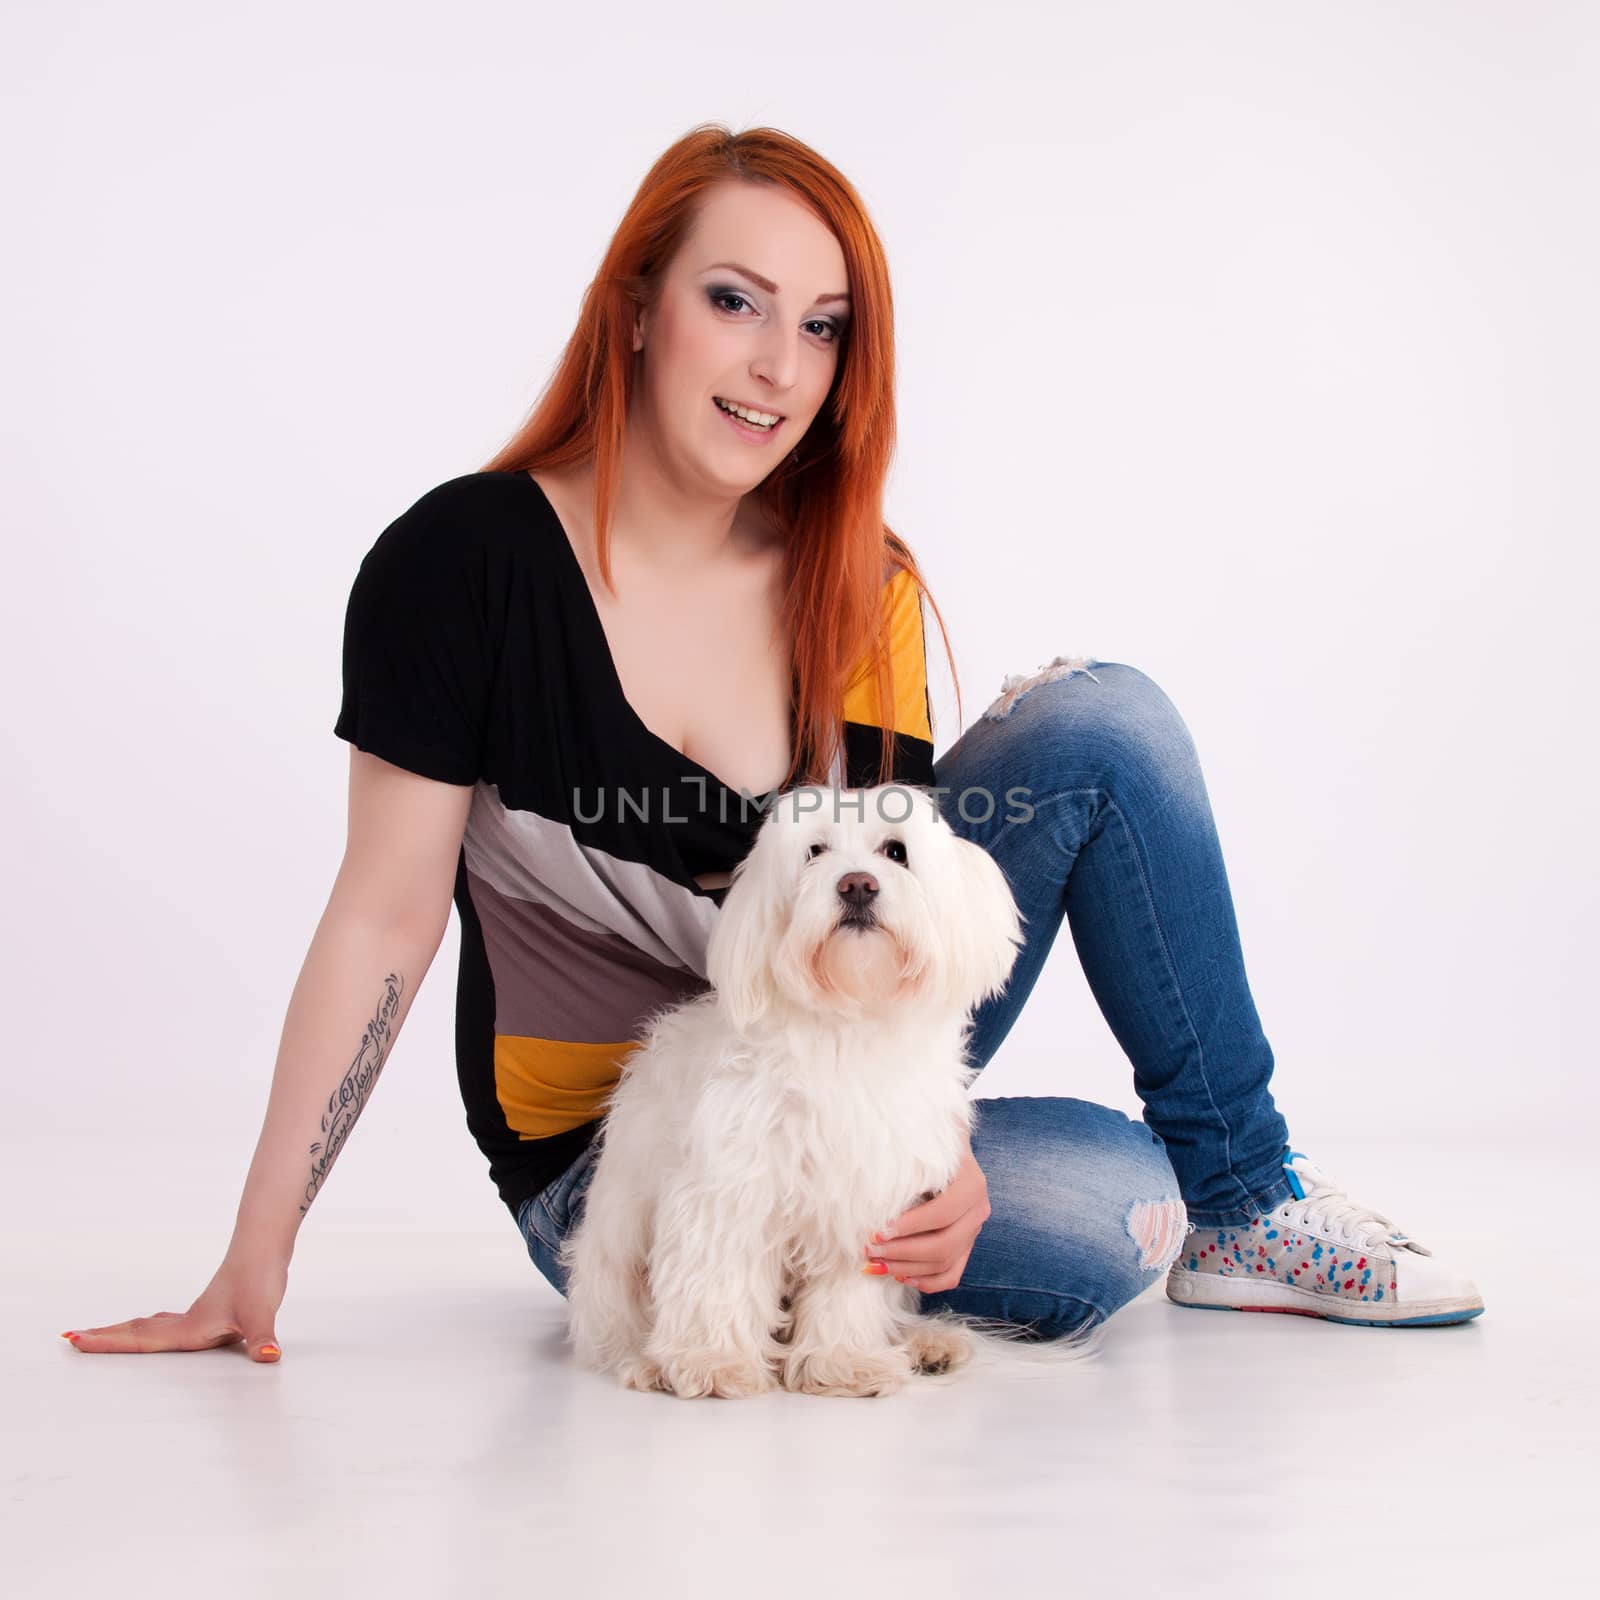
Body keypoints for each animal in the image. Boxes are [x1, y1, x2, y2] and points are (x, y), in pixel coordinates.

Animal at [560, 787, 1100, 1401]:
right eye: (814, 852)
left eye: (896, 851)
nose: (857, 884)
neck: (848, 1024)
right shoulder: (728, 1186)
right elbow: (718, 1273)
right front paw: (713, 1361)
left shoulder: (870, 1202)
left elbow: (848, 1294)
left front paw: (844, 1363)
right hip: (613, 1262)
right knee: (617, 1329)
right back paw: (650, 1362)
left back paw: (925, 1345)